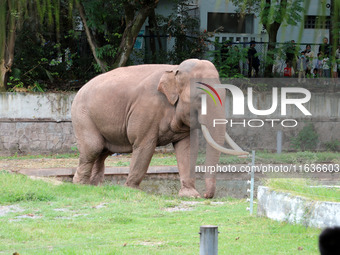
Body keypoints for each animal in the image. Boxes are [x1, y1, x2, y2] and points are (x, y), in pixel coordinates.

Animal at [71, 58, 247, 198]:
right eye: (200, 97)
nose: (206, 195)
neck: (174, 69)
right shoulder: (146, 109)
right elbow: (144, 146)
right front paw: (133, 190)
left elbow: (188, 148)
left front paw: (190, 195)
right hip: (82, 117)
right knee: (93, 148)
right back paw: (79, 185)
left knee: (102, 152)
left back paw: (95, 187)